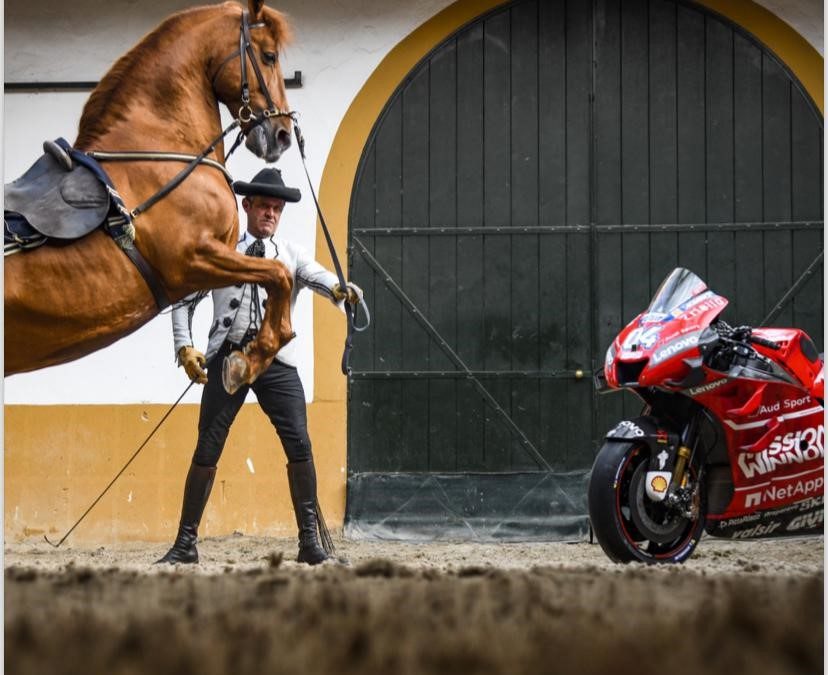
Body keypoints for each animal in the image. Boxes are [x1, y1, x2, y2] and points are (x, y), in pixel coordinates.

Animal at [4, 0, 298, 394]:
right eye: (268, 56)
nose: (283, 134)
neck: (159, 147)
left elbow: (278, 277)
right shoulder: (193, 259)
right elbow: (279, 275)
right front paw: (247, 361)